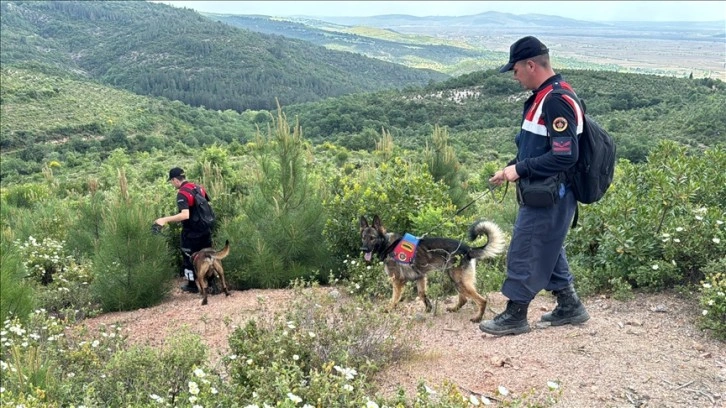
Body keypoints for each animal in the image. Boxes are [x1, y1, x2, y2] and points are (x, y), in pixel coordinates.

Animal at [360, 215, 506, 324]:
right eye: (363, 238)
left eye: (372, 238)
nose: (363, 249)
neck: (388, 244)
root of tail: (467, 248)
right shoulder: (420, 277)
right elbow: (422, 294)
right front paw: (428, 309)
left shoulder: (397, 281)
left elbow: (394, 298)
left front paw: (389, 309)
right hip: (456, 280)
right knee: (464, 299)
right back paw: (454, 309)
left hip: (459, 281)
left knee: (482, 300)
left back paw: (478, 318)